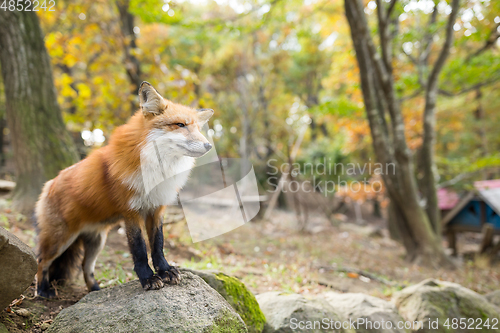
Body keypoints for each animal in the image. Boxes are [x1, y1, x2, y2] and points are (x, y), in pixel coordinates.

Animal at [34, 81, 214, 296]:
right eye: (180, 125)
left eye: (197, 128)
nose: (209, 145)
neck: (156, 169)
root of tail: (48, 184)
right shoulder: (131, 211)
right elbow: (139, 249)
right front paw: (148, 278)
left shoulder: (156, 208)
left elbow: (158, 244)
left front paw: (165, 270)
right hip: (60, 239)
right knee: (41, 261)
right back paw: (42, 290)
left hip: (97, 242)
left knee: (86, 267)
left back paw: (95, 290)